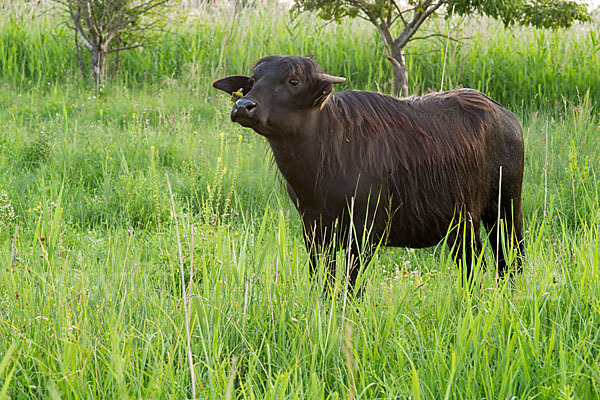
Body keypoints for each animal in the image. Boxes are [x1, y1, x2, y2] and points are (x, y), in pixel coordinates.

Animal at [213, 54, 524, 290]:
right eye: (253, 81)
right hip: (464, 224)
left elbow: (351, 288)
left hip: (507, 208)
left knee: (513, 260)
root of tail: (504, 115)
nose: (243, 106)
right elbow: (324, 282)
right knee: (480, 264)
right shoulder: (313, 229)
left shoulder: (364, 234)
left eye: (293, 80)